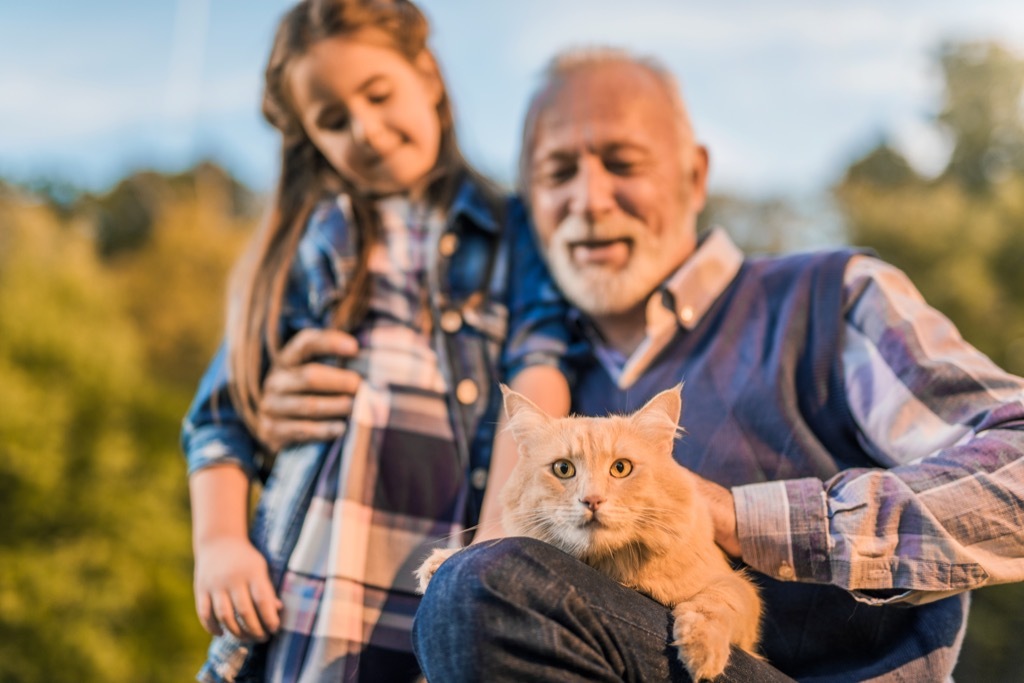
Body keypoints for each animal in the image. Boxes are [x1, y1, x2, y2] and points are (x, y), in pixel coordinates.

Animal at [415, 387, 761, 679]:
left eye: (620, 468)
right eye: (563, 469)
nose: (592, 500)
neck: (610, 567)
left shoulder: (737, 588)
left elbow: (714, 602)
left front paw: (701, 650)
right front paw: (441, 560)